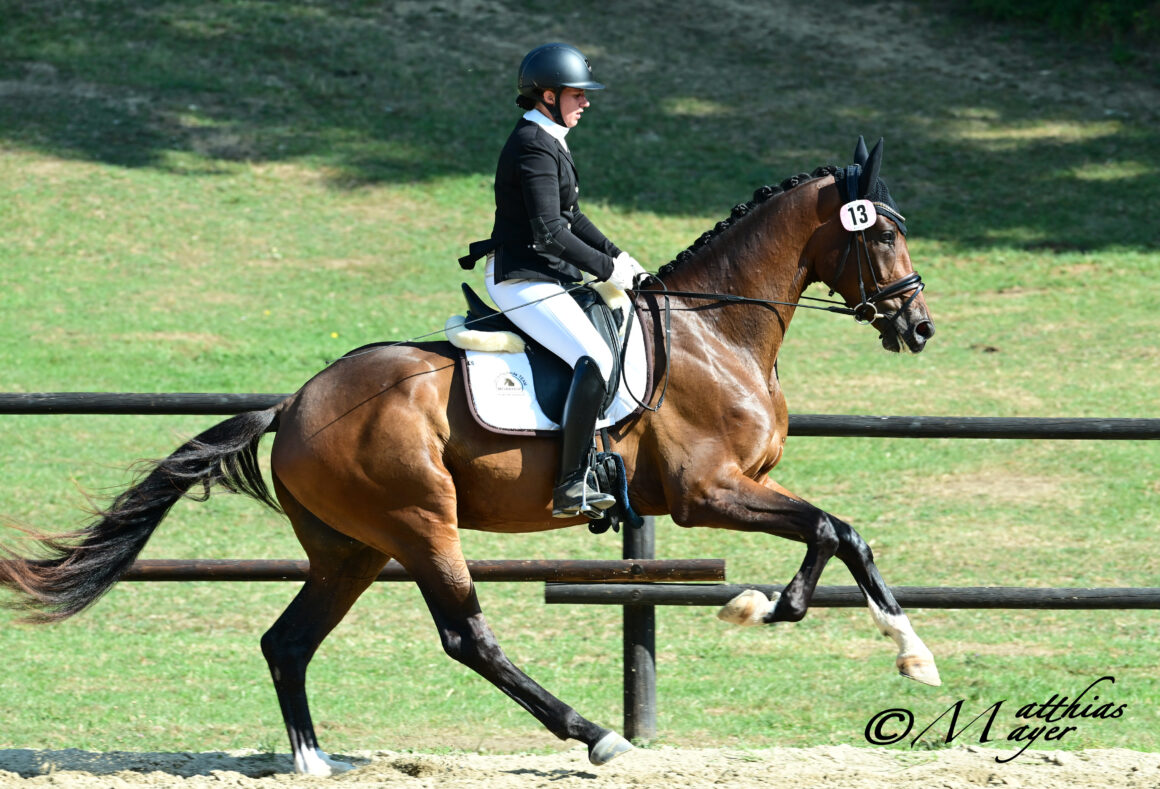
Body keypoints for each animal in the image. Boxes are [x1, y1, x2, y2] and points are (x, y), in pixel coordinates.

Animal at [0, 136, 937, 775]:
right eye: (882, 237)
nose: (919, 326)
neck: (716, 329)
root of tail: (295, 404)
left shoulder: (739, 487)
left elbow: (834, 534)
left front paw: (797, 612)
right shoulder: (708, 490)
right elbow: (838, 529)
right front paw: (870, 639)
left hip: (352, 547)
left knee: (288, 641)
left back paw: (313, 761)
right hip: (419, 522)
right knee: (467, 637)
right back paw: (597, 736)